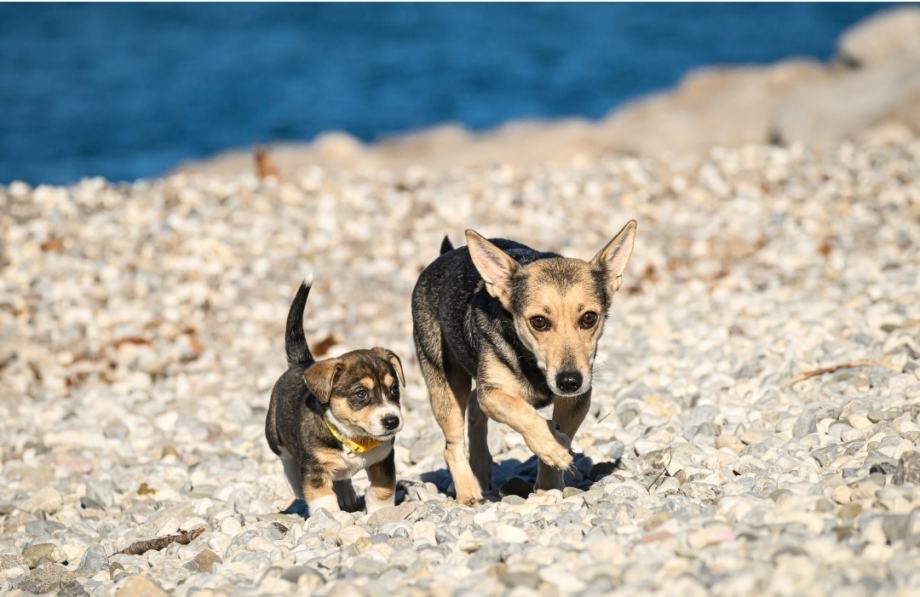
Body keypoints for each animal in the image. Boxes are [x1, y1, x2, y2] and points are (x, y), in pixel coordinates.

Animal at [268, 278, 408, 516]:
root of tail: (301, 362)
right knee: (289, 467)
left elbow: (382, 490)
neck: (353, 438)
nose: (392, 421)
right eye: (361, 393)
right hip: (276, 438)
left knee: (342, 478)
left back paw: (347, 495)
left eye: (394, 389)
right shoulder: (315, 469)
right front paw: (331, 518)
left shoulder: (383, 460)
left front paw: (380, 513)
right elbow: (323, 498)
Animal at [414, 220, 636, 502]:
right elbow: (524, 414)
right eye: (539, 321)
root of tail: (445, 255)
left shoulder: (577, 398)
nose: (569, 381)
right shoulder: (493, 393)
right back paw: (468, 494)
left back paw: (481, 469)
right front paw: (552, 447)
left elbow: (558, 429)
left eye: (589, 318)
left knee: (474, 407)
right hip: (446, 385)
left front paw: (549, 486)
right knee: (452, 444)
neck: (532, 364)